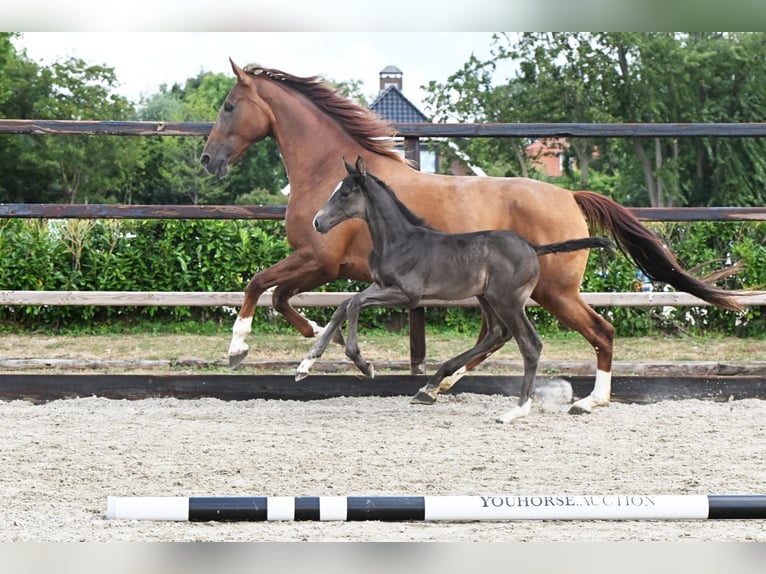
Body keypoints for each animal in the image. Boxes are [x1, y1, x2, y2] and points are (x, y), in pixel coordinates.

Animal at [296, 156, 615, 422]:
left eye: (345, 193)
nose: (317, 222)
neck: (399, 240)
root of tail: (532, 247)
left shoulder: (407, 295)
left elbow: (354, 304)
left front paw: (363, 363)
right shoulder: (381, 286)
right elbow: (344, 304)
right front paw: (305, 365)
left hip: (507, 300)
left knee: (530, 344)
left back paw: (517, 410)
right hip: (486, 297)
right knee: (497, 334)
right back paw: (431, 386)